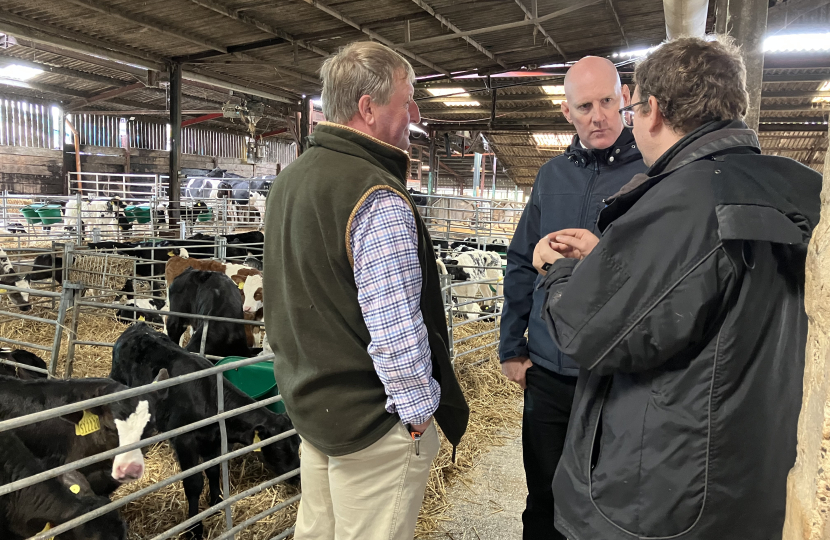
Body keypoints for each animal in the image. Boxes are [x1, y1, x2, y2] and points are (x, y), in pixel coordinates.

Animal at [111, 322, 302, 540]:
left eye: (298, 444)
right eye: (279, 449)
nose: (298, 475)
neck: (209, 397)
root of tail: (138, 326)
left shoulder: (213, 441)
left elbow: (213, 471)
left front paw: (216, 502)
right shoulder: (185, 442)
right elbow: (194, 484)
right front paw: (195, 528)